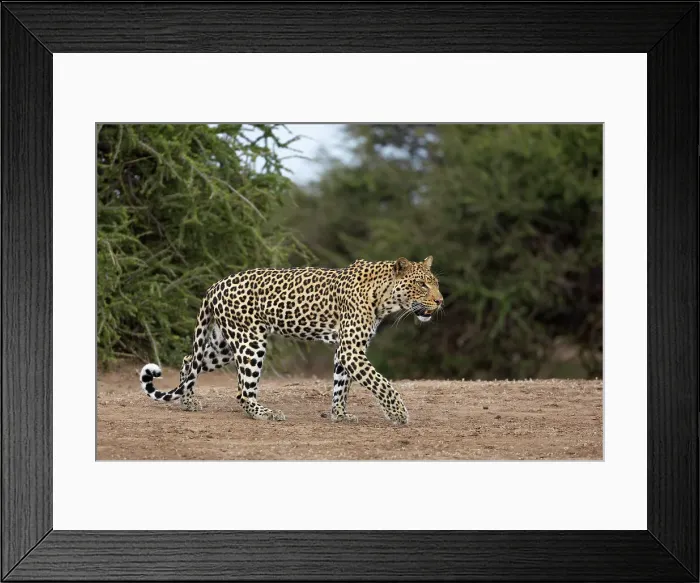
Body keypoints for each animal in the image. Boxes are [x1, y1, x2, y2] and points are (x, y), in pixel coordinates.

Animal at [139, 255, 443, 424]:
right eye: (422, 284)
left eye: (436, 283)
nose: (441, 301)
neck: (384, 297)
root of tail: (215, 285)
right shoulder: (351, 350)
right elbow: (382, 383)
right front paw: (398, 414)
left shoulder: (345, 351)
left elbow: (341, 386)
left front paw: (339, 415)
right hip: (250, 342)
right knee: (242, 392)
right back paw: (266, 413)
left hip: (225, 344)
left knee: (189, 361)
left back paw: (188, 402)